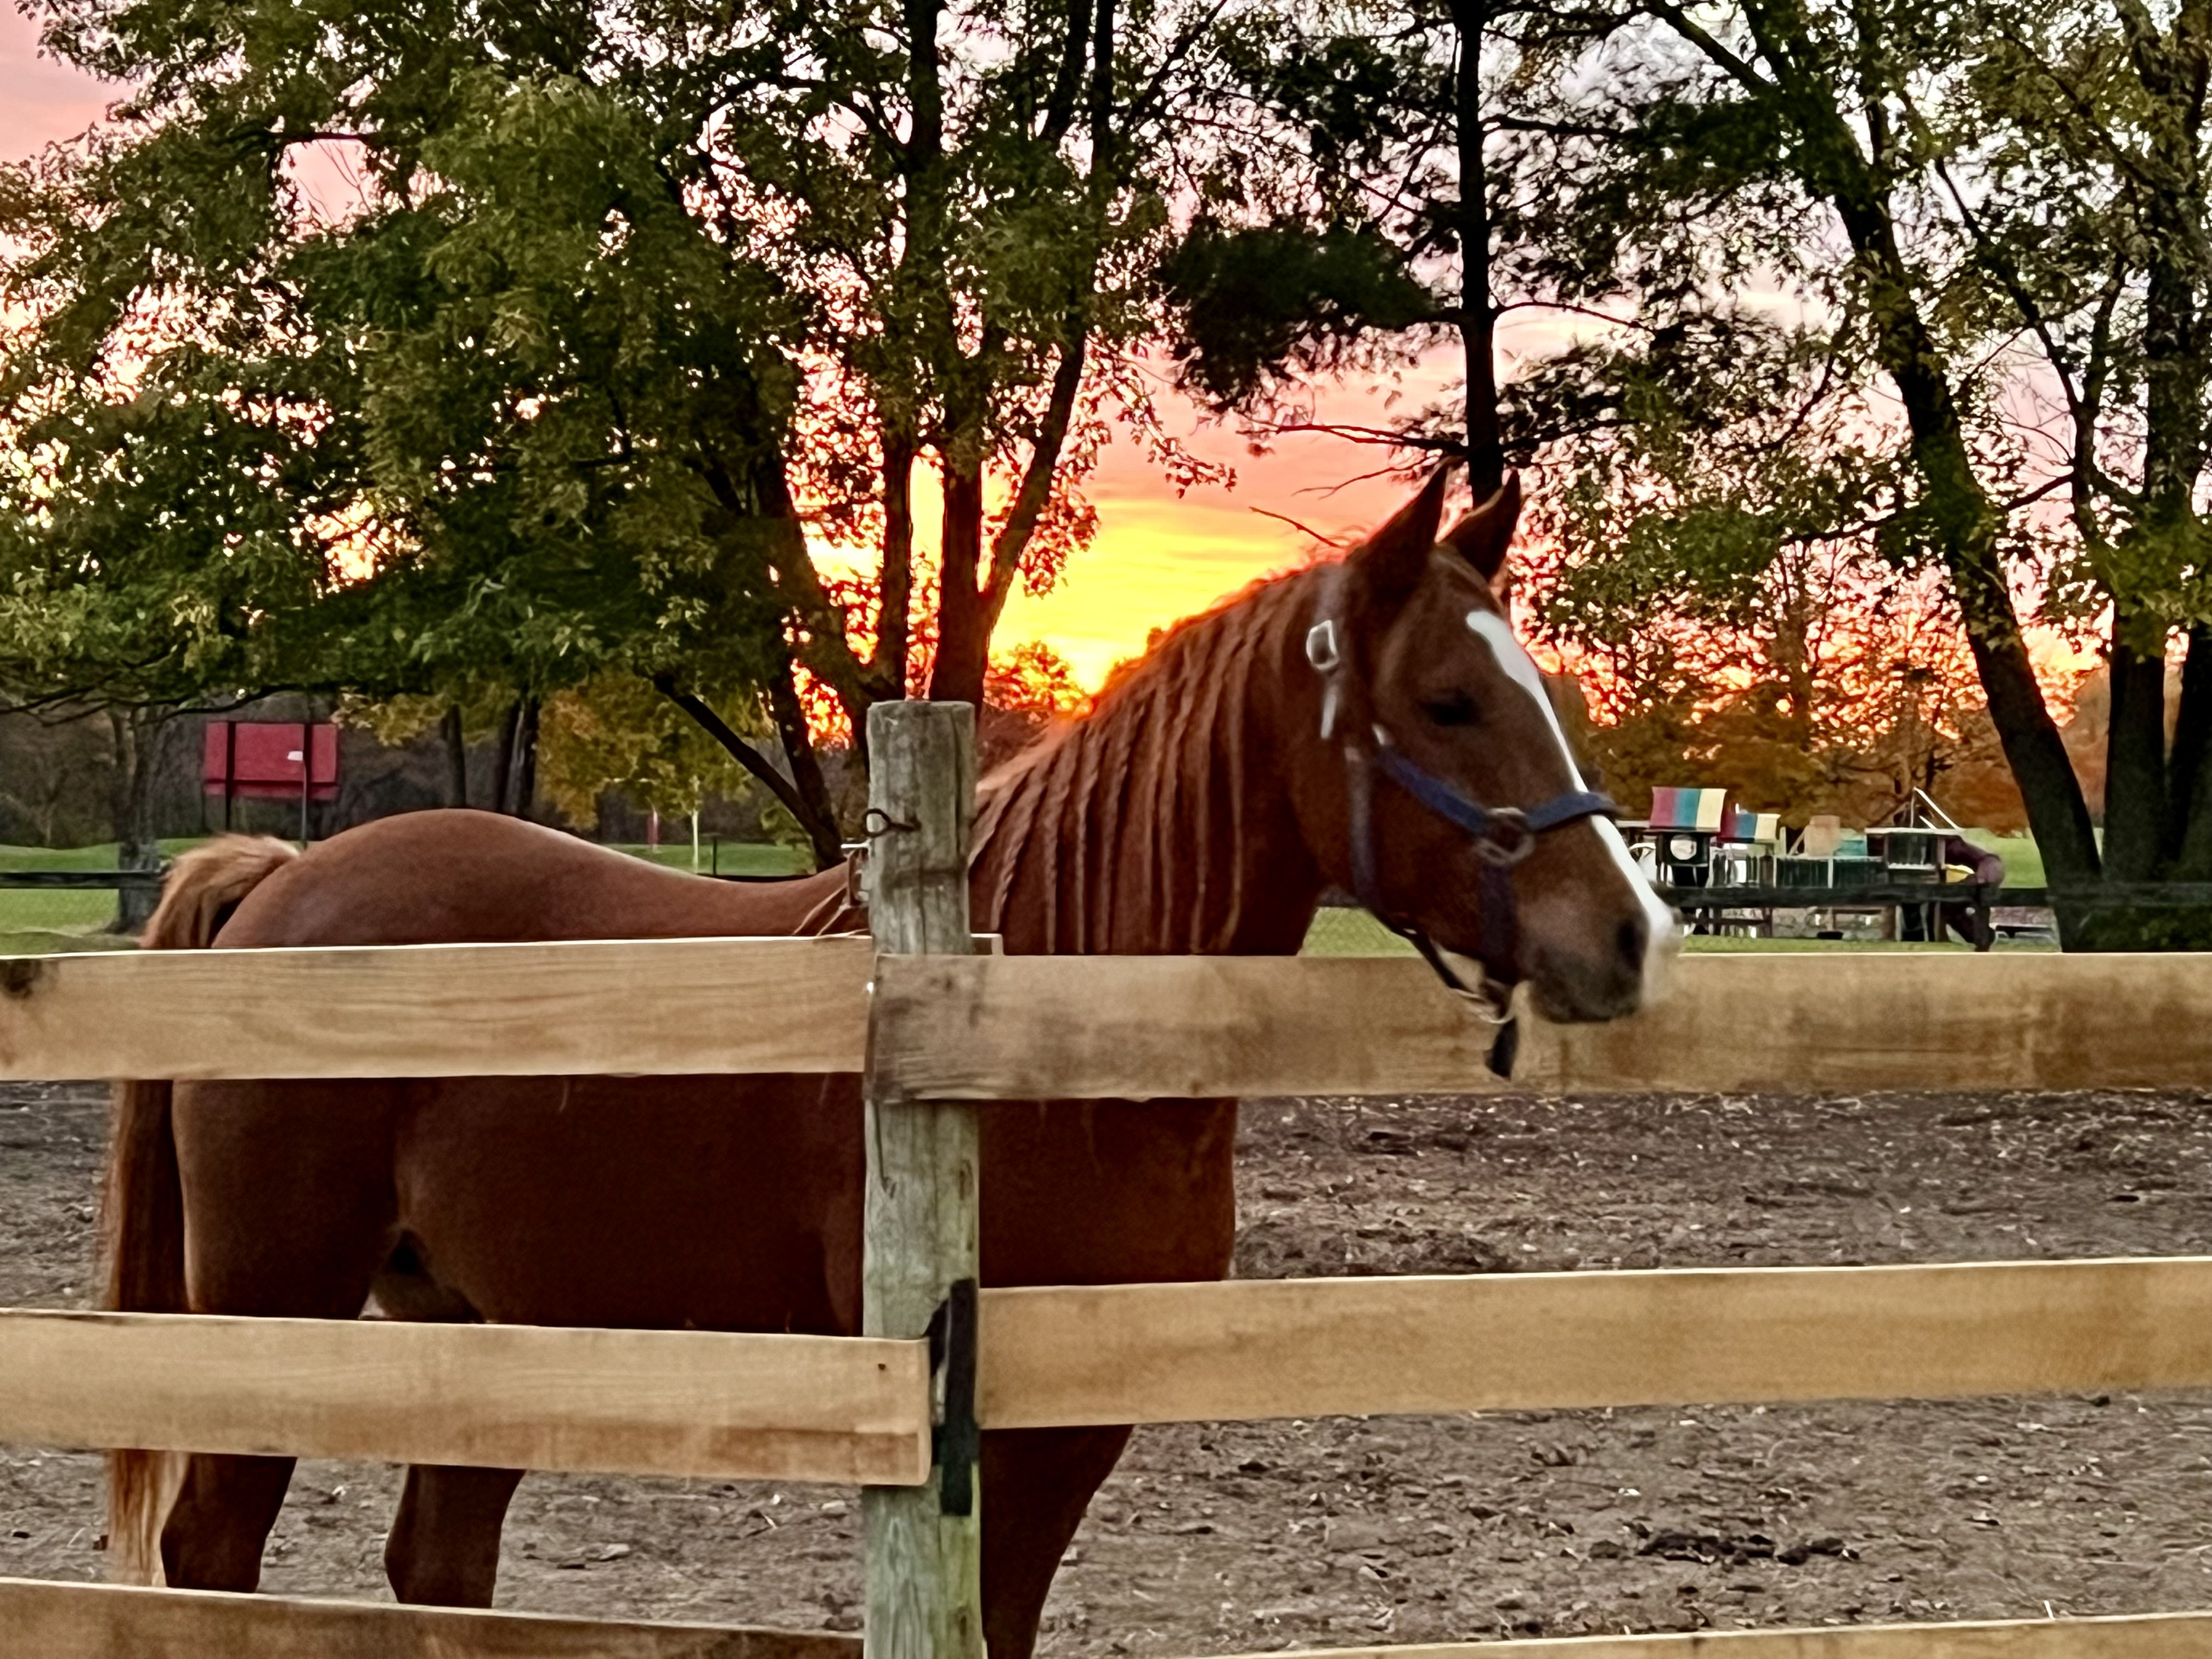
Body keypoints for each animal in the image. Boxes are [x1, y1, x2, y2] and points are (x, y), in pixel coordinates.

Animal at [103, 468, 1674, 1653]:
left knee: (437, 1574)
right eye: (1450, 701)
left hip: (471, 1323)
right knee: (212, 1553)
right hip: (273, 1307)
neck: (1042, 1023)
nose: (1631, 931)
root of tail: (283, 878)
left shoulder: (1072, 1428)